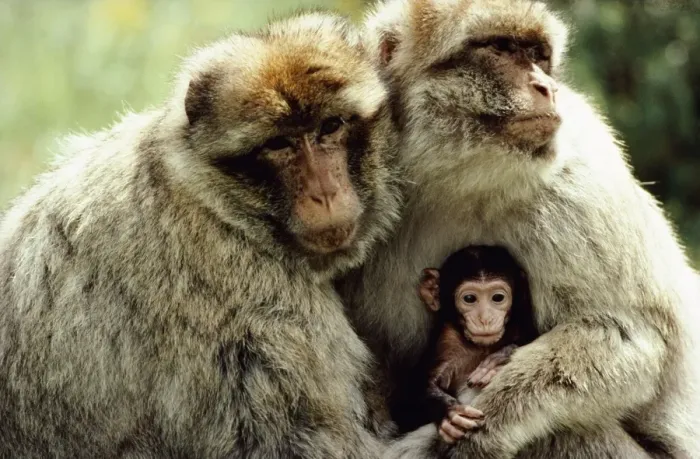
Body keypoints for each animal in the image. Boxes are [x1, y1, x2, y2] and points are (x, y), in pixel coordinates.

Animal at [417, 246, 537, 445]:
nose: (485, 319)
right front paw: (450, 412)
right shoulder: (447, 342)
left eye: (497, 297)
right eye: (469, 298)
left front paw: (495, 363)